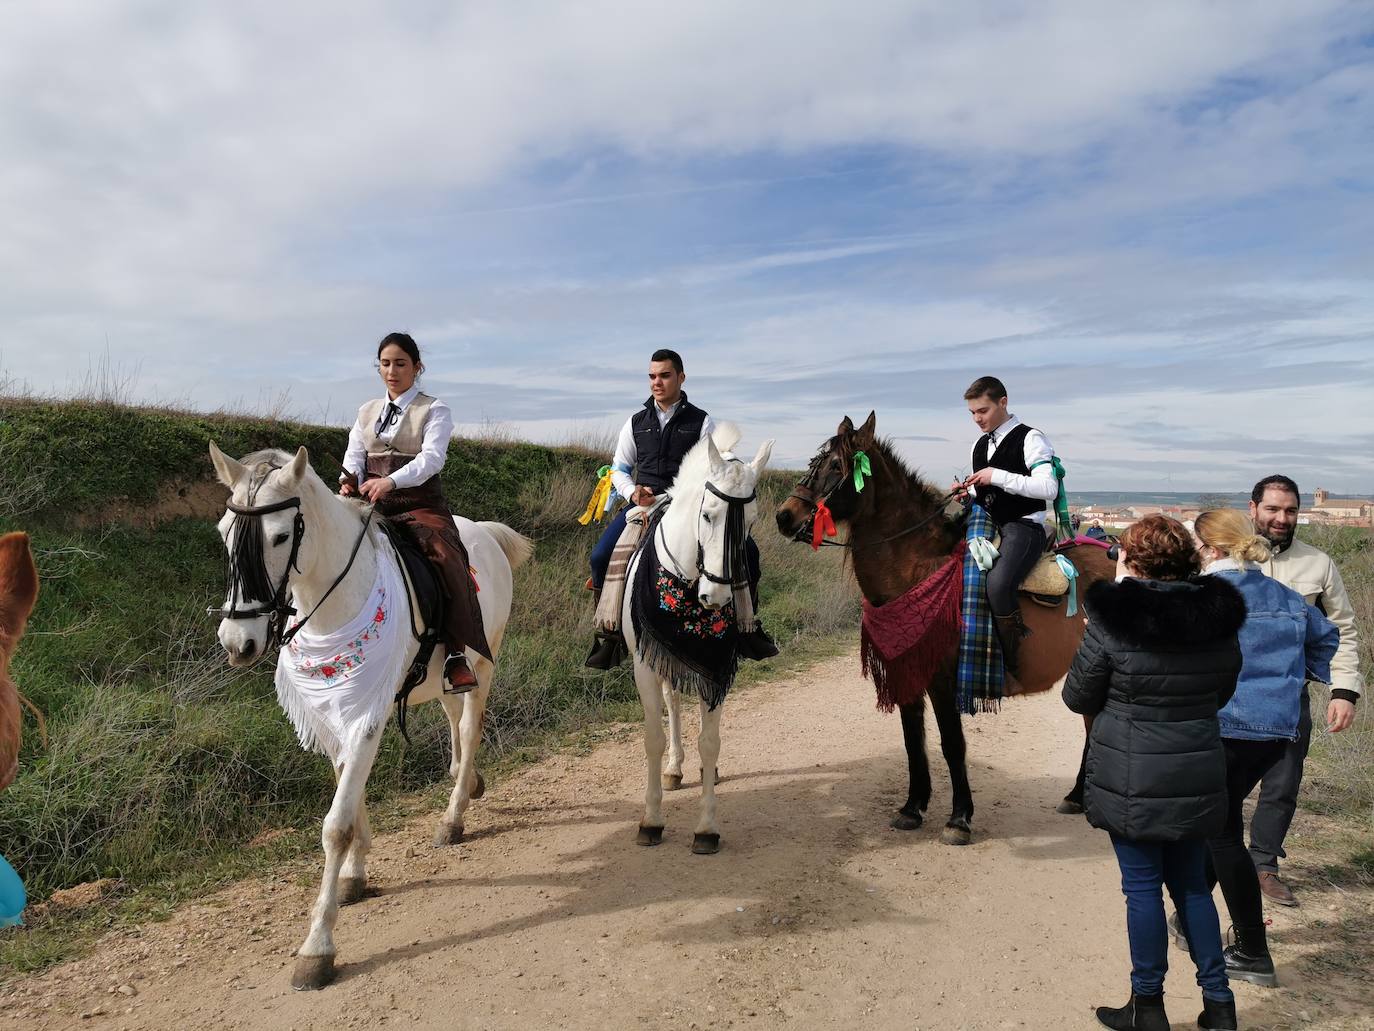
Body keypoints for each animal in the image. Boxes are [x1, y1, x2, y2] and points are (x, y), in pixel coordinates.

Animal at [207, 445, 530, 995]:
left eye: (279, 536)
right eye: (225, 532)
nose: (238, 643)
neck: (336, 602)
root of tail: (484, 531)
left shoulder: (366, 718)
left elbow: (335, 824)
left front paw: (317, 948)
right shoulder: (335, 710)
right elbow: (349, 793)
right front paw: (355, 876)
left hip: (485, 661)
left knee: (469, 728)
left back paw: (454, 816)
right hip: (445, 672)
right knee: (453, 718)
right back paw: (467, 784)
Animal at [623, 423, 774, 857]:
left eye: (751, 521)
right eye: (708, 515)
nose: (718, 598)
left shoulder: (716, 669)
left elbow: (710, 742)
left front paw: (706, 828)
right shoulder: (645, 664)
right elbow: (653, 738)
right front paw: (651, 821)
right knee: (672, 703)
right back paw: (674, 769)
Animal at [774, 415, 1115, 846]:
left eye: (837, 465)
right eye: (814, 463)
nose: (784, 516)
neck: (917, 570)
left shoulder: (943, 679)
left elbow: (952, 744)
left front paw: (959, 818)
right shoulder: (907, 672)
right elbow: (912, 741)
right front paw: (912, 807)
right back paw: (1076, 796)